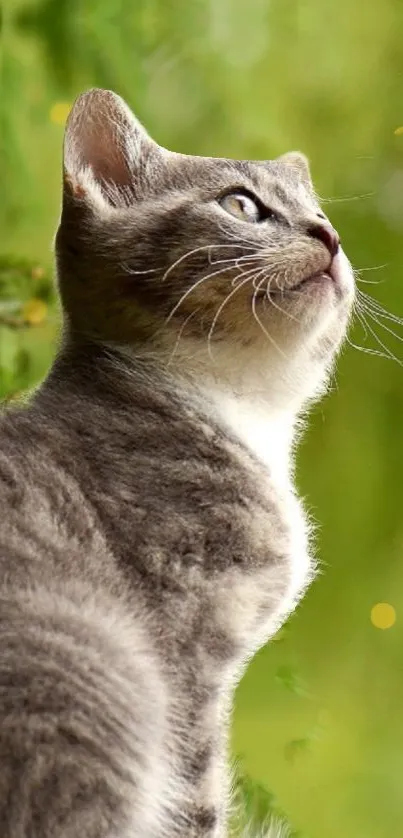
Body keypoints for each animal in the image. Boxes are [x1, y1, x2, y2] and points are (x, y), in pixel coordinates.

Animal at [0, 88, 356, 836]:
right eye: (242, 205)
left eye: (321, 213)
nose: (328, 236)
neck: (242, 412)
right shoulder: (186, 646)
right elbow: (197, 796)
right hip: (97, 669)